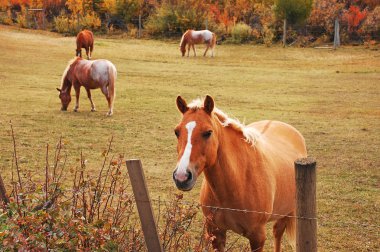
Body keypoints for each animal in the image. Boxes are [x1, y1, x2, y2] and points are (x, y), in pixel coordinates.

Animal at [173, 95, 308, 251]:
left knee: (278, 232)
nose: (181, 177)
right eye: (177, 132)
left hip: (287, 211)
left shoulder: (257, 237)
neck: (239, 182)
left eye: (208, 132)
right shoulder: (216, 233)